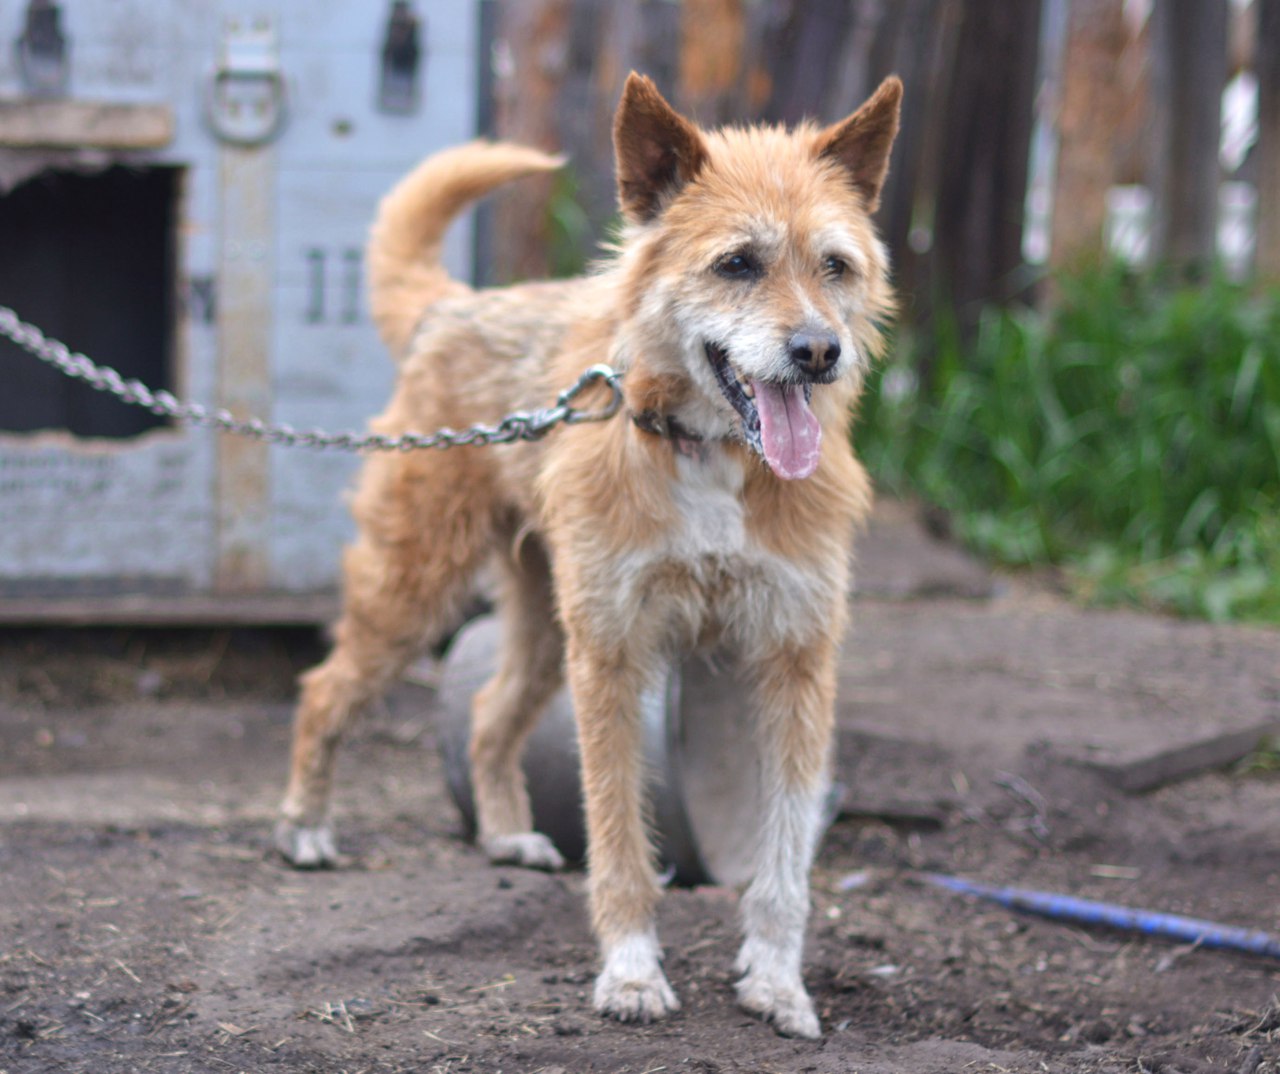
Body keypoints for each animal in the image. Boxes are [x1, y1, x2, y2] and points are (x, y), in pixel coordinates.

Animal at [277, 69, 901, 1039]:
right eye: (738, 263)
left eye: (834, 265)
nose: (819, 352)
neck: (707, 452)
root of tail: (453, 308)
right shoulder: (614, 658)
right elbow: (618, 841)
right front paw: (632, 972)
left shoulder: (795, 660)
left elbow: (786, 855)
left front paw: (776, 982)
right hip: (419, 595)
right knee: (323, 690)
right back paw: (306, 826)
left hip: (542, 629)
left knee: (486, 715)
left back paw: (501, 831)